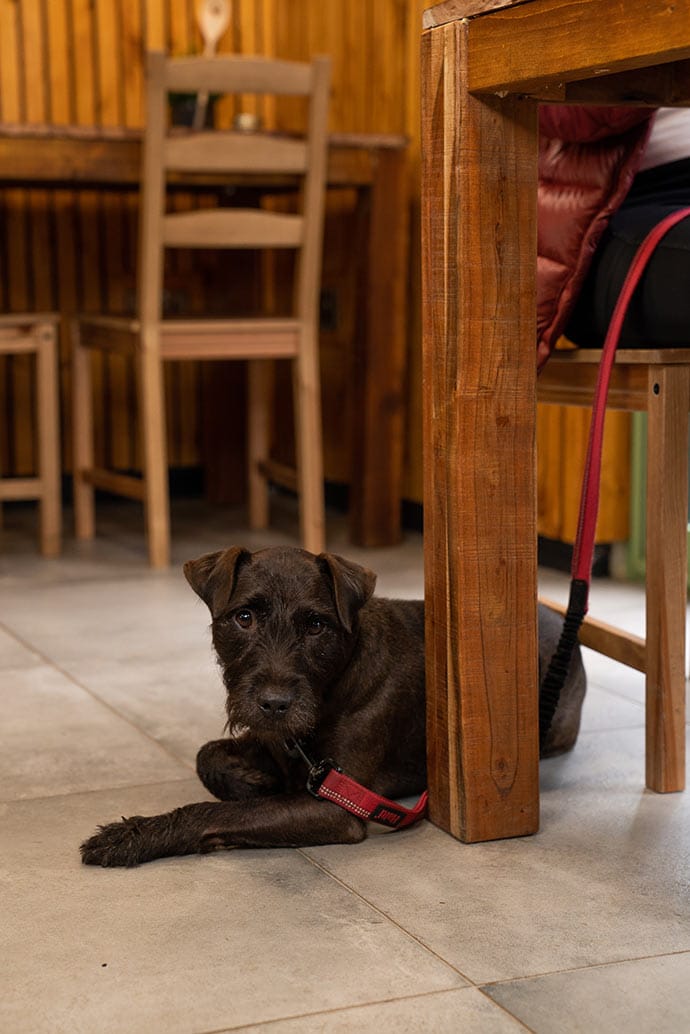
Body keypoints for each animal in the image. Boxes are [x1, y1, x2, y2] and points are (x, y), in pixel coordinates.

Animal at [82, 545, 587, 868]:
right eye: (244, 618)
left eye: (316, 625)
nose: (275, 704)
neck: (335, 682)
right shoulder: (277, 740)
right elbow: (207, 754)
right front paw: (253, 780)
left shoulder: (335, 804)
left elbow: (217, 813)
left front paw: (132, 836)